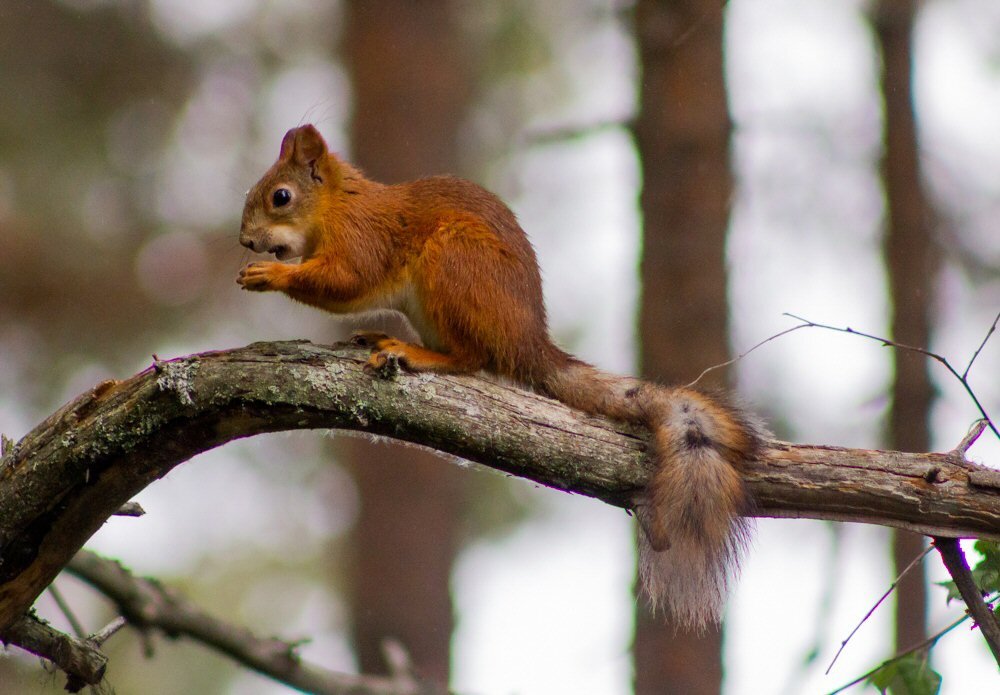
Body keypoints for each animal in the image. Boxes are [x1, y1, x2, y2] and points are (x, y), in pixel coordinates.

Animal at [238, 125, 760, 632]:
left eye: (281, 197)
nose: (245, 241)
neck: (336, 204)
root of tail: (527, 343)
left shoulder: (362, 239)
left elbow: (346, 280)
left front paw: (273, 274)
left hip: (453, 262)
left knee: (471, 358)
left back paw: (411, 352)